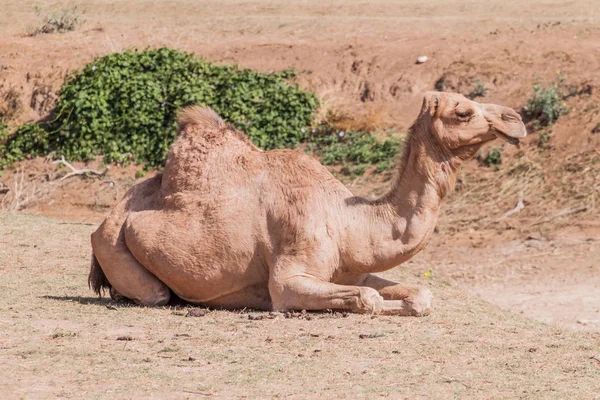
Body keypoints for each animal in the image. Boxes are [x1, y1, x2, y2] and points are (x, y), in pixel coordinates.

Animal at [89, 93, 524, 316]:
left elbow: (418, 295)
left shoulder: (354, 267)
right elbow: (366, 299)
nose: (515, 119)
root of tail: (108, 217)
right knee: (153, 294)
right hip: (113, 244)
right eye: (463, 111)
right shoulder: (292, 271)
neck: (348, 220)